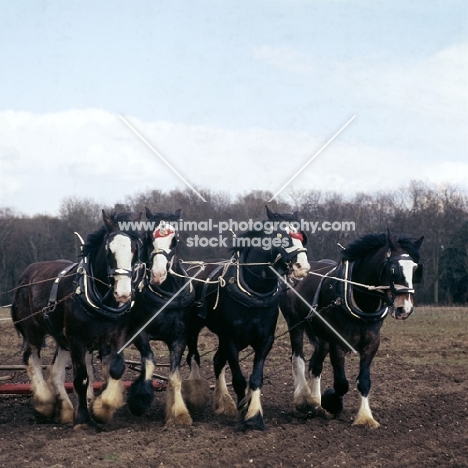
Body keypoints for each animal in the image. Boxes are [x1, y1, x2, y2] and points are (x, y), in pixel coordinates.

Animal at [11, 212, 143, 428]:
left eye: (134, 249)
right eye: (109, 250)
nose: (123, 293)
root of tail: (26, 274)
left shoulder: (115, 339)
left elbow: (116, 369)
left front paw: (102, 408)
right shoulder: (78, 341)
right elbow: (81, 379)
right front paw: (83, 419)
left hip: (62, 339)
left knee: (54, 370)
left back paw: (64, 409)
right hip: (34, 331)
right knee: (31, 358)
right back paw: (44, 403)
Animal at [124, 207, 203, 424]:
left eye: (175, 239)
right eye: (148, 236)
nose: (158, 274)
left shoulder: (179, 337)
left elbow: (174, 376)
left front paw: (179, 414)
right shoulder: (138, 332)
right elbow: (149, 362)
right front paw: (140, 399)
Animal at [183, 208, 310, 432]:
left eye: (302, 236)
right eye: (280, 235)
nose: (302, 267)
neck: (255, 292)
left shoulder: (265, 340)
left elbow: (256, 378)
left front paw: (255, 415)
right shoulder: (231, 339)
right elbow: (240, 380)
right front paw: (244, 416)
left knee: (217, 361)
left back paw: (223, 402)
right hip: (195, 328)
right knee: (194, 356)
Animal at [280, 229, 426, 428]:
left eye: (415, 269)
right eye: (393, 269)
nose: (405, 309)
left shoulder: (372, 343)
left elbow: (364, 381)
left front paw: (365, 417)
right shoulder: (337, 343)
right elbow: (342, 384)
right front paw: (332, 402)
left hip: (322, 338)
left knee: (316, 365)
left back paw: (316, 403)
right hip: (295, 324)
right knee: (298, 359)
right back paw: (305, 400)